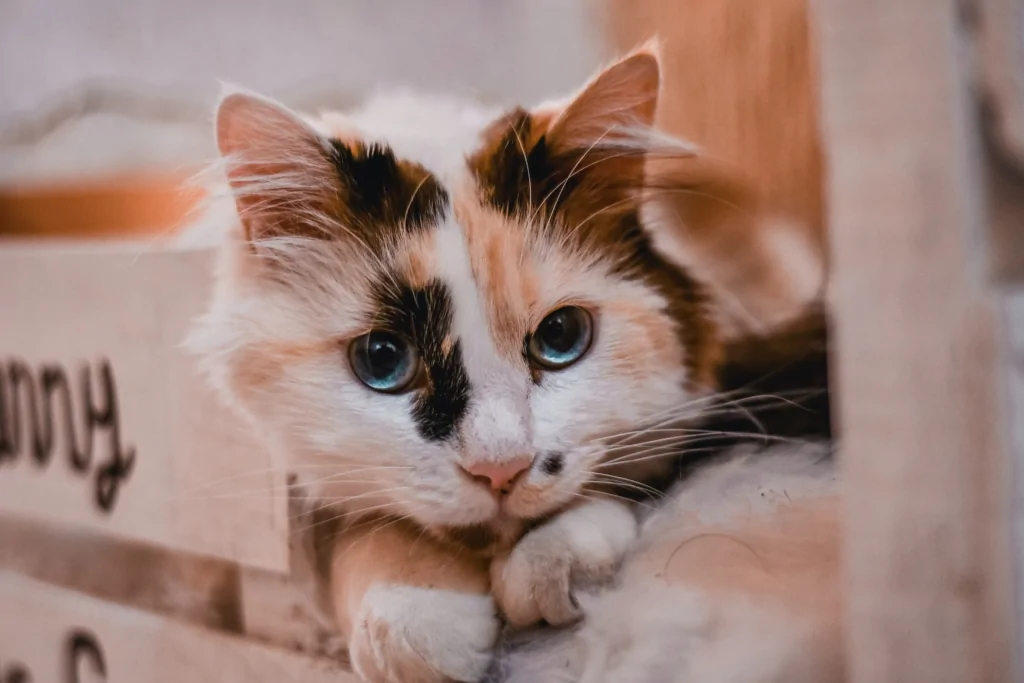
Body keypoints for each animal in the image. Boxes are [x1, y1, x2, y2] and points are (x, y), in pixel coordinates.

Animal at [188, 44, 835, 683]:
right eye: (383, 360)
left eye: (561, 336)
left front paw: (551, 563)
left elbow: (646, 469)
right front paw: (414, 619)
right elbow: (371, 531)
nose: (500, 470)